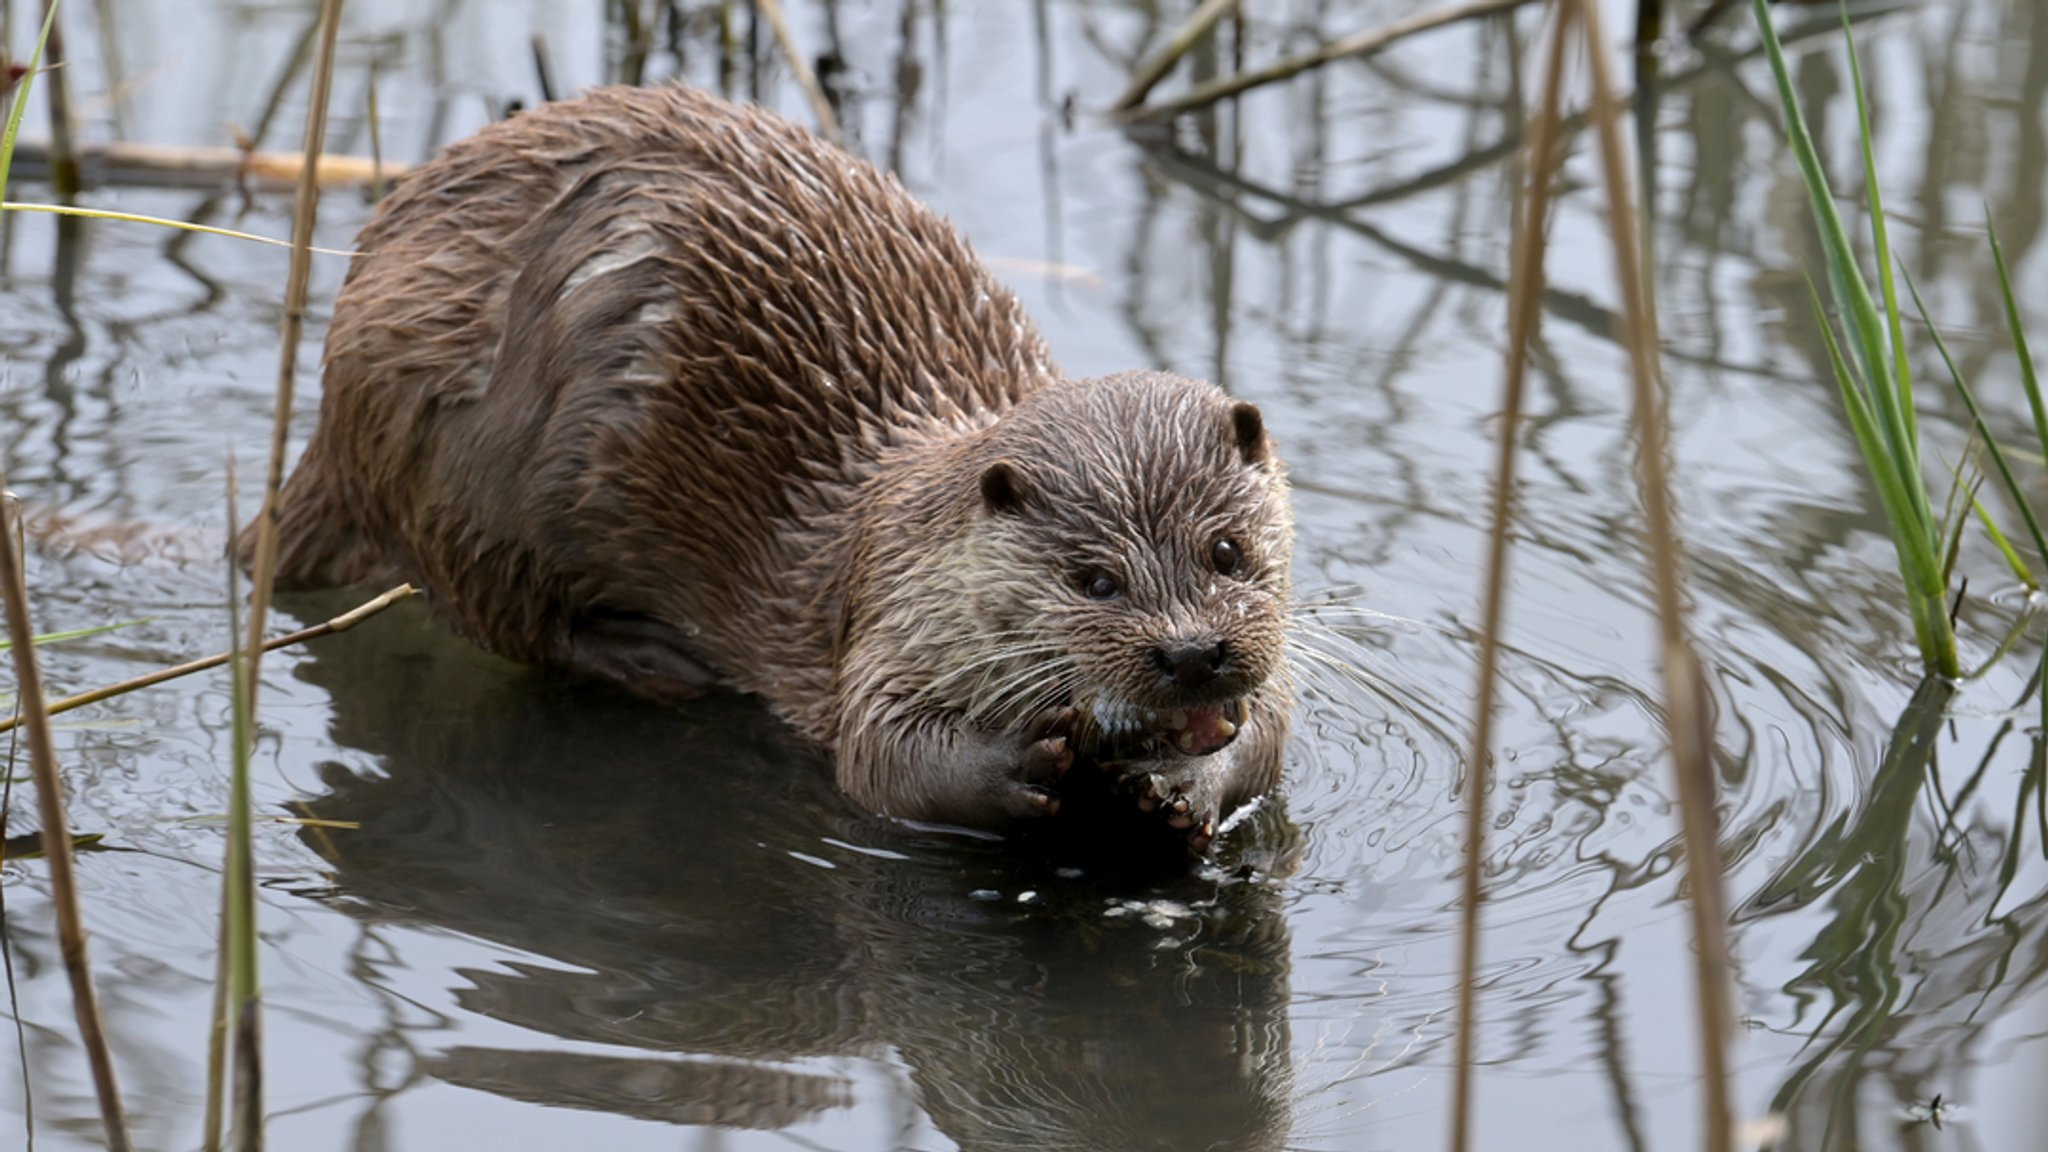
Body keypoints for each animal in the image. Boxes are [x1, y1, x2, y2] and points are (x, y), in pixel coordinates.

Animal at [247, 83, 1286, 844]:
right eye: (1093, 580)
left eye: (1227, 553)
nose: (1193, 652)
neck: (911, 534)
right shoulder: (888, 625)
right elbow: (880, 761)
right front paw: (1018, 762)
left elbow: (1269, 736)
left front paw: (1188, 780)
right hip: (455, 463)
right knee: (504, 608)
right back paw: (656, 658)